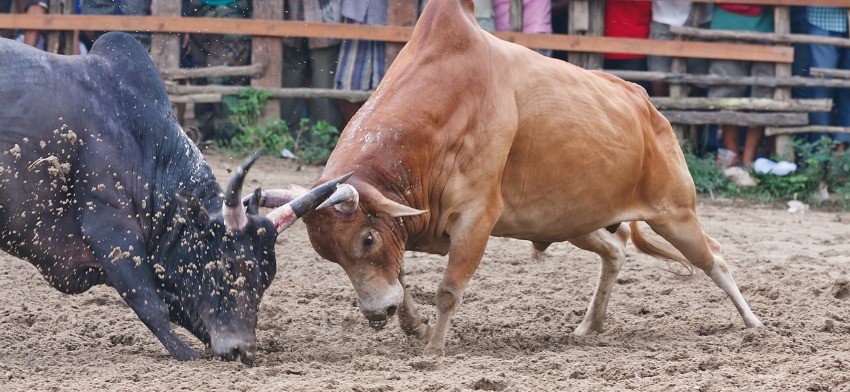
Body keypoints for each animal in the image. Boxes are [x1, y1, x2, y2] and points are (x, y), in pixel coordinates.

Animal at [0, 33, 348, 362]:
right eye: (228, 264)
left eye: (267, 276)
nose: (242, 349)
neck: (141, 144)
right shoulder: (110, 229)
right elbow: (149, 303)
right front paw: (188, 355)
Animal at [264, 0, 760, 356]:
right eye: (329, 256)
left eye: (365, 239)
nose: (375, 315)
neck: (445, 109)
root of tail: (646, 106)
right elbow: (402, 278)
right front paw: (413, 323)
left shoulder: (475, 220)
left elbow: (448, 290)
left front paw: (433, 349)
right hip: (576, 221)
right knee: (616, 251)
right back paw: (590, 324)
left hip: (675, 214)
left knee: (715, 259)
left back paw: (754, 324)